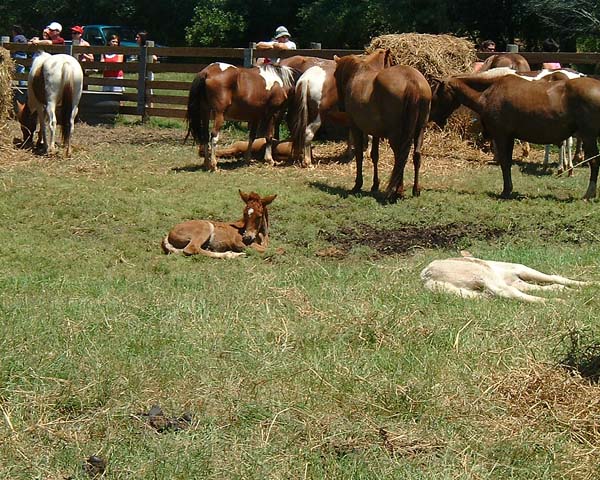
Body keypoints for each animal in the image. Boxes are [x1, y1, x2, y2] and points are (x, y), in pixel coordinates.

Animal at [332, 48, 432, 199]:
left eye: (336, 75)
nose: (341, 106)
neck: (359, 73)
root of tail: (412, 81)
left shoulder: (356, 128)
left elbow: (359, 155)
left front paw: (358, 184)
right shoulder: (375, 133)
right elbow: (375, 156)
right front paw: (375, 184)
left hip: (395, 135)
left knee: (400, 157)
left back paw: (398, 190)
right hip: (419, 130)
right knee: (415, 155)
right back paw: (415, 189)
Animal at [428, 69, 600, 199]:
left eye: (436, 93)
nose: (432, 116)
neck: (490, 91)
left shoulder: (502, 136)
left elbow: (504, 163)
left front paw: (505, 191)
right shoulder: (510, 137)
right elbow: (508, 163)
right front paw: (508, 189)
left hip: (589, 137)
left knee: (594, 162)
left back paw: (588, 193)